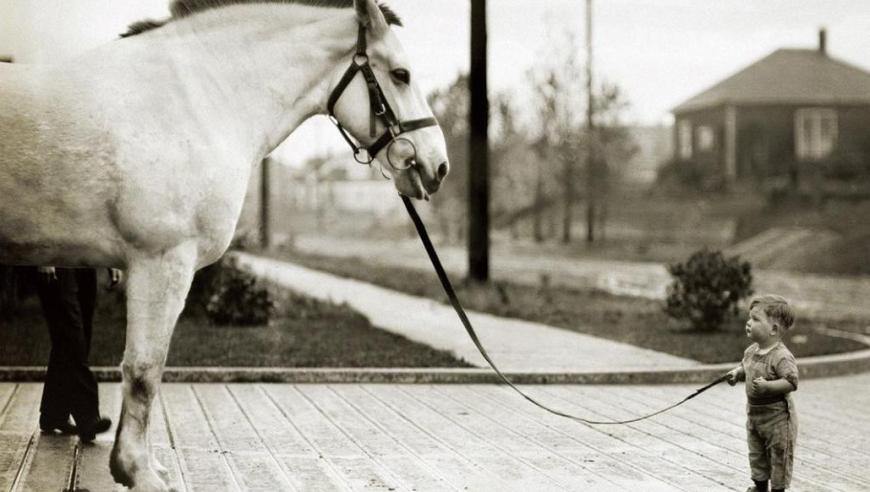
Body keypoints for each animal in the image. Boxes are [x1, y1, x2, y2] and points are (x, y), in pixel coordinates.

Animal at [0, 0, 450, 488]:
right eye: (401, 74)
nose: (438, 165)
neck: (197, 102)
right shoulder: (162, 262)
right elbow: (144, 370)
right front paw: (137, 471)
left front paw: (144, 464)